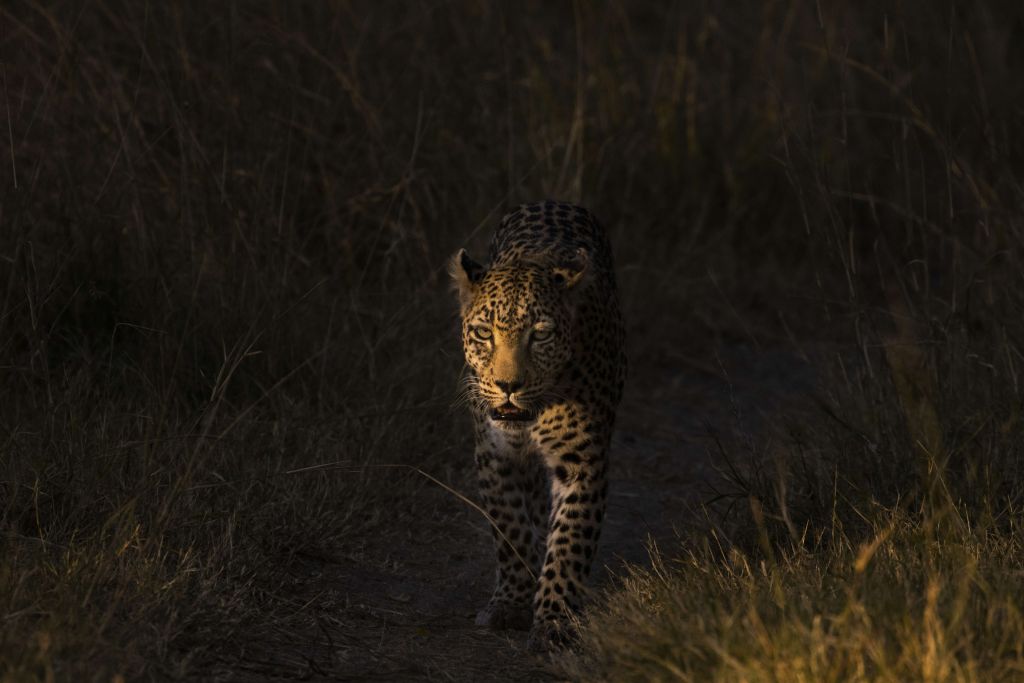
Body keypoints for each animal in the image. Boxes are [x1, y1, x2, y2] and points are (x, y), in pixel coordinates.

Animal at [452, 198, 626, 651]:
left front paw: (554, 619)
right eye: (483, 333)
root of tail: (552, 200)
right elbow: (510, 528)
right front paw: (512, 602)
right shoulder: (494, 455)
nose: (508, 386)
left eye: (541, 335)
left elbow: (570, 542)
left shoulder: (582, 460)